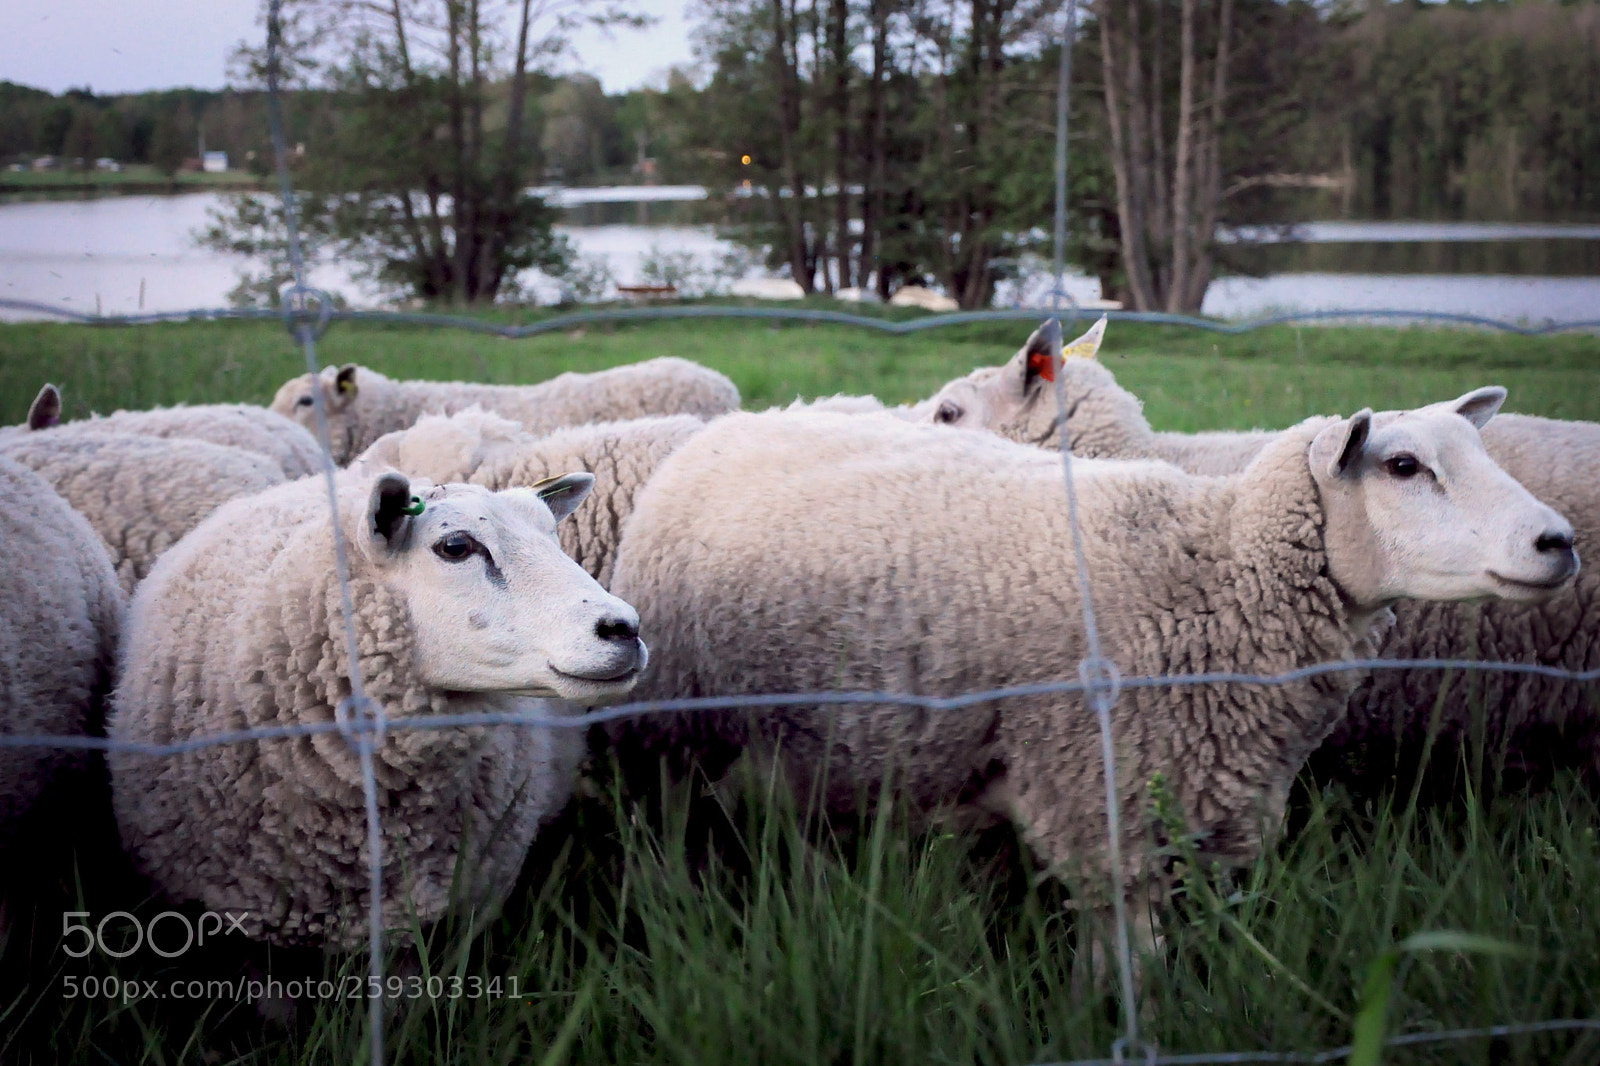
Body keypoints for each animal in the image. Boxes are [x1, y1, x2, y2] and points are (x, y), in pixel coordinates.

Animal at [605, 396, 1575, 928]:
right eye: (1403, 465)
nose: (1559, 542)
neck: (1217, 565)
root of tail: (733, 429)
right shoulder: (1101, 798)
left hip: (819, 742)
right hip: (678, 736)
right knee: (664, 838)